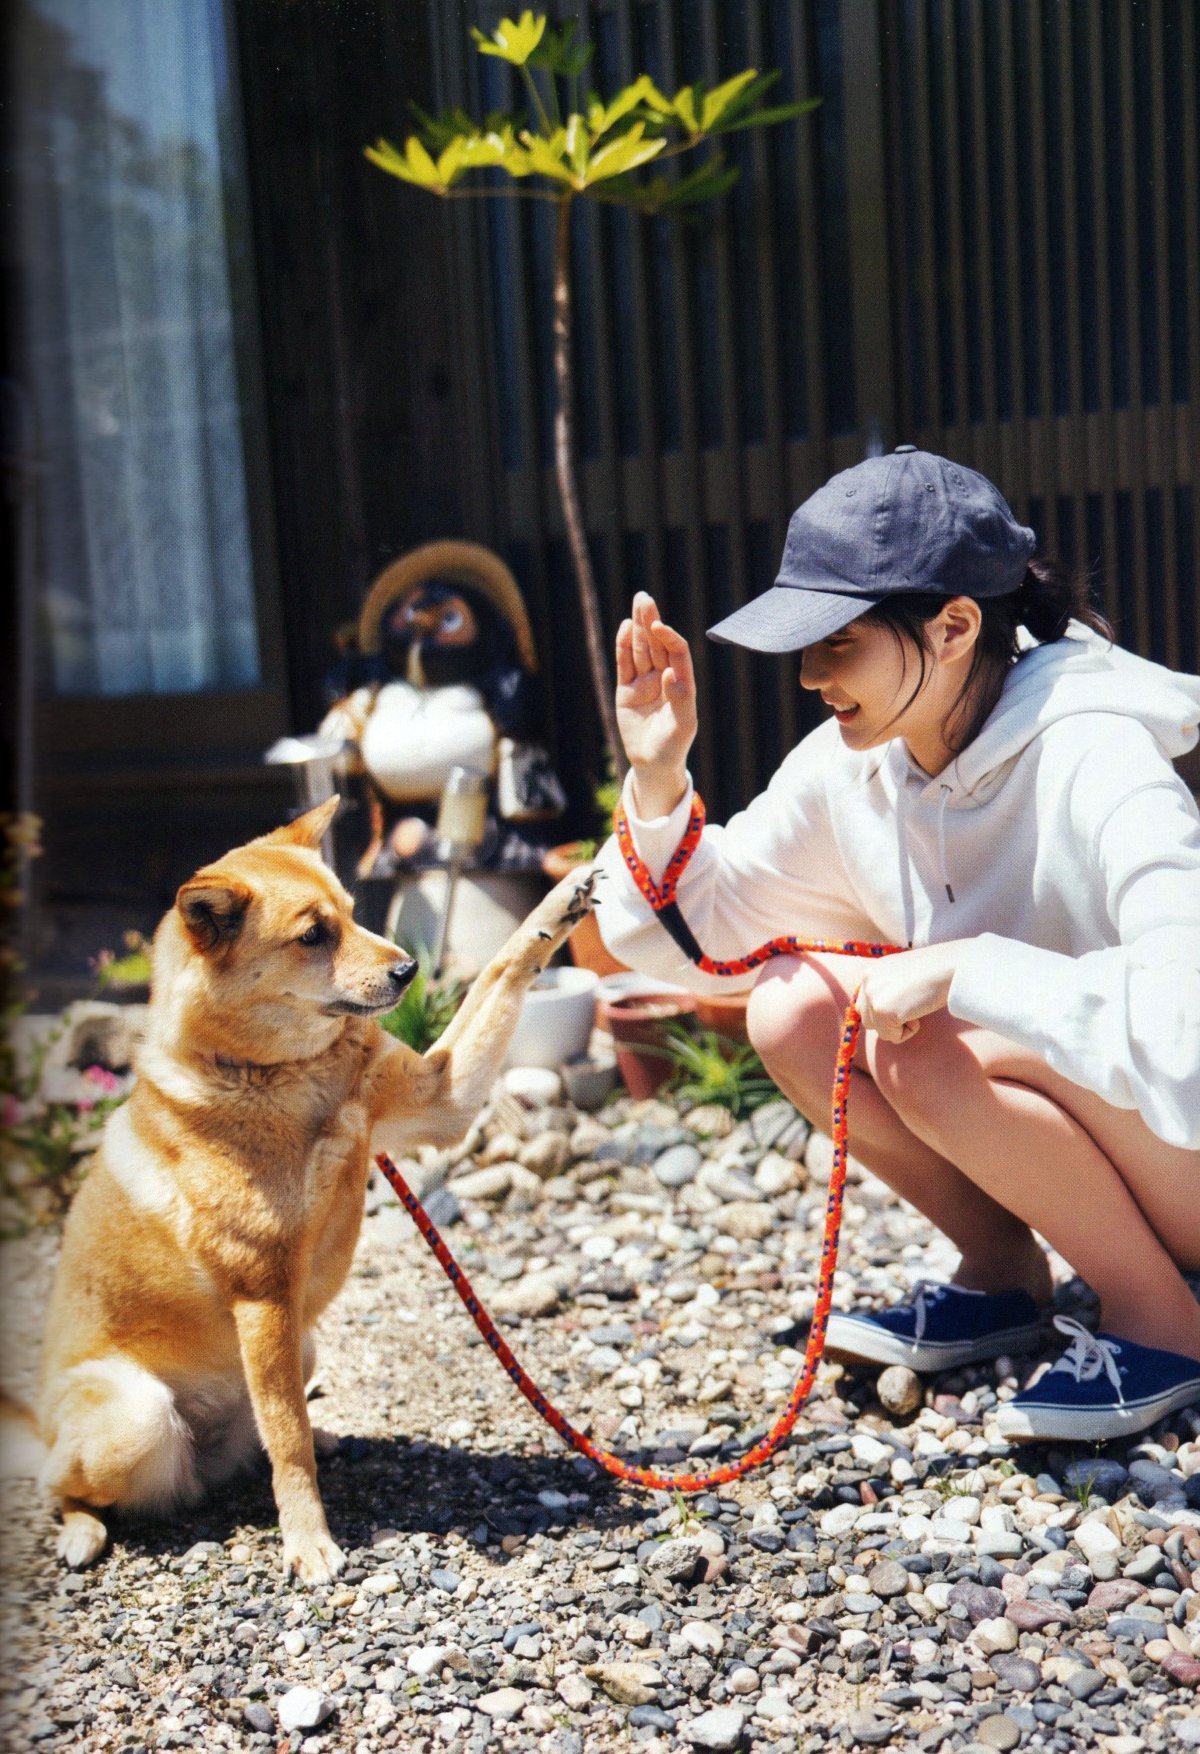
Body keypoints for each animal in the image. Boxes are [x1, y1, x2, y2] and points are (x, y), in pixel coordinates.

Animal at [15, 803, 596, 1585]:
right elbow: (286, 1442)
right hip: (139, 1417)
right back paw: (81, 1529)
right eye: (313, 934)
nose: (410, 968)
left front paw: (559, 904)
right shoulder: (262, 1297)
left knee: (263, 1431)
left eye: (352, 913)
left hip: (305, 1344)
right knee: (65, 1481)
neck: (287, 1080)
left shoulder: (442, 1099)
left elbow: (501, 971)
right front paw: (308, 1541)